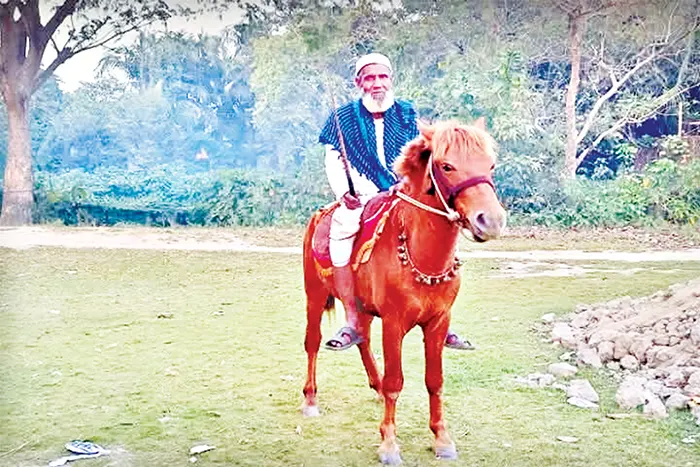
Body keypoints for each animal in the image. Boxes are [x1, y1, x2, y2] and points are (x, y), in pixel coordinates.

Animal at [301, 118, 507, 465]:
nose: (490, 221)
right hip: (314, 296)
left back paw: (372, 380)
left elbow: (434, 381)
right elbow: (395, 382)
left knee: (362, 337)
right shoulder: (393, 322)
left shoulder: (438, 322)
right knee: (313, 343)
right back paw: (310, 399)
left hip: (363, 309)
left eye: (490, 165)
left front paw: (441, 438)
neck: (422, 253)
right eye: (446, 166)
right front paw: (388, 443)